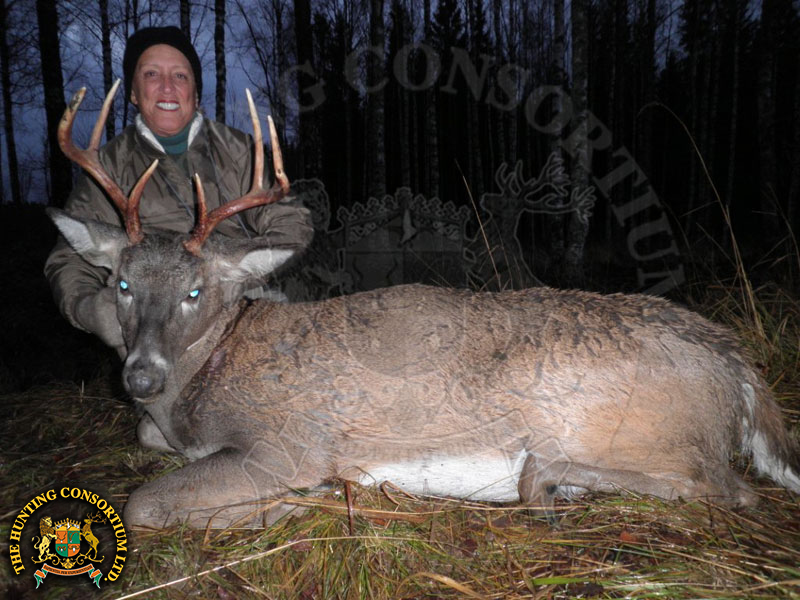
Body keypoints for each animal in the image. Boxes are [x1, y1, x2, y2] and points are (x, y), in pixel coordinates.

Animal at [48, 84, 800, 530]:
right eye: (120, 283)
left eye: (195, 292)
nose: (141, 376)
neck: (208, 375)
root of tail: (740, 367)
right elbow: (147, 447)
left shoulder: (286, 444)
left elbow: (143, 504)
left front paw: (291, 507)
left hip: (619, 423)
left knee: (724, 488)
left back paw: (548, 481)